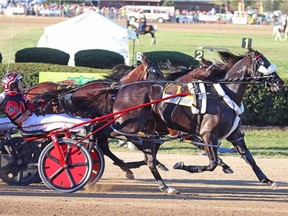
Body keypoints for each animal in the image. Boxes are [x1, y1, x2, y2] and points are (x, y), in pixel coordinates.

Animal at [95, 48, 284, 193]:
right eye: (264, 63)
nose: (280, 82)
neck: (223, 96)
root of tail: (121, 89)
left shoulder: (235, 135)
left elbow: (250, 159)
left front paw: (267, 180)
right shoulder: (206, 134)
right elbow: (213, 163)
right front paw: (184, 166)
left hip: (146, 129)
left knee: (147, 158)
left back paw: (163, 185)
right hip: (127, 124)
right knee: (103, 135)